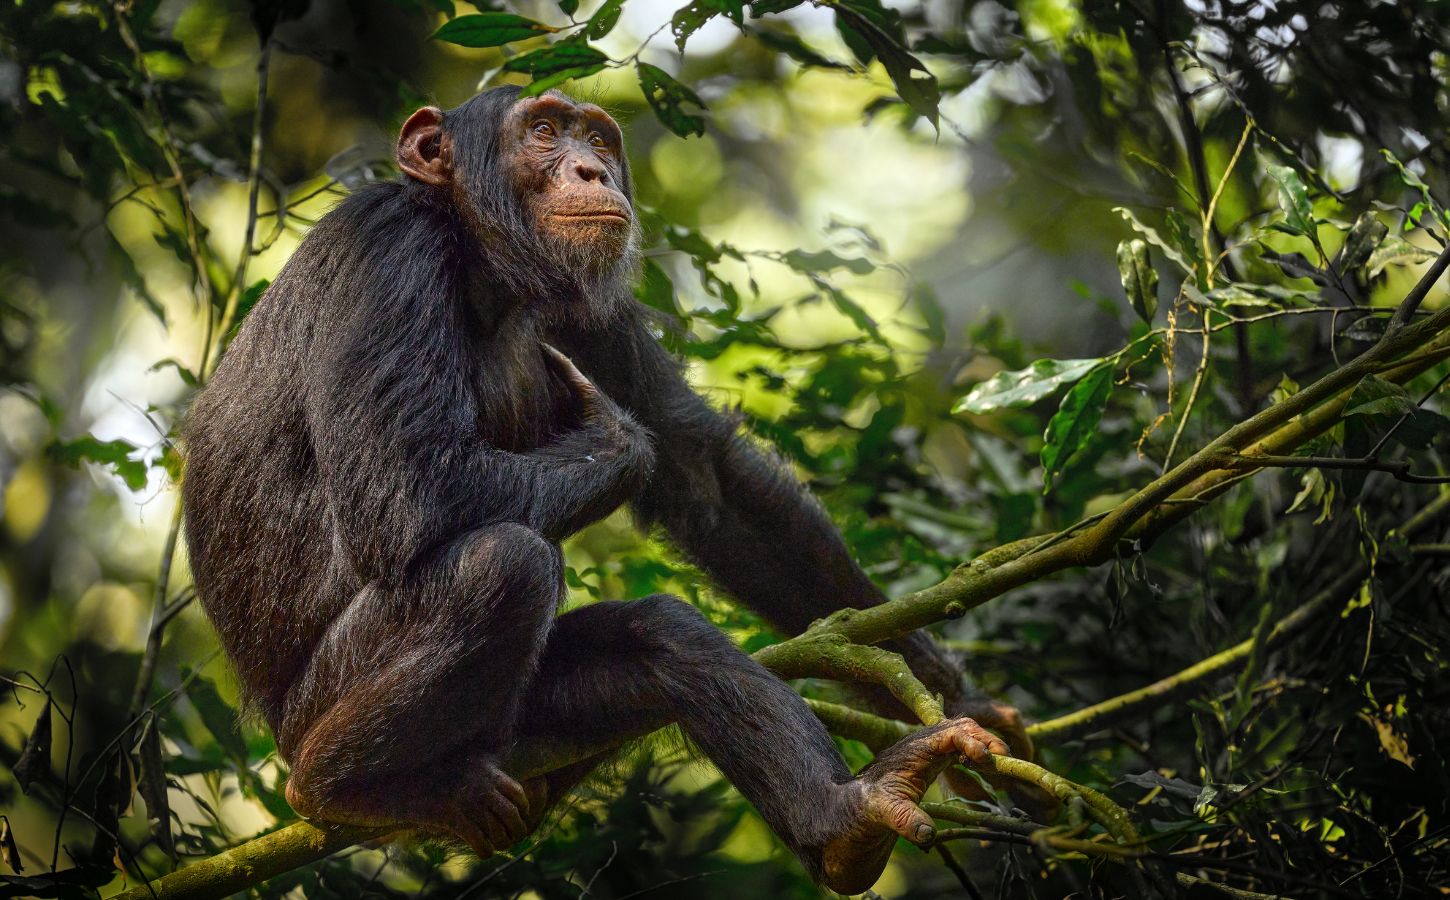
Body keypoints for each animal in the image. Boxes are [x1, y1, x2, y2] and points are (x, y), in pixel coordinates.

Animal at [181, 85, 1026, 892]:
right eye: (544, 132)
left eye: (596, 138)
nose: (592, 171)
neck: (477, 261)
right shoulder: (386, 250)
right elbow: (404, 489)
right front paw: (616, 438)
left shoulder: (589, 309)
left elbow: (701, 469)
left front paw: (947, 691)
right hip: (321, 704)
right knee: (505, 564)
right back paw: (344, 785)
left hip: (526, 736)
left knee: (659, 638)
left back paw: (846, 818)